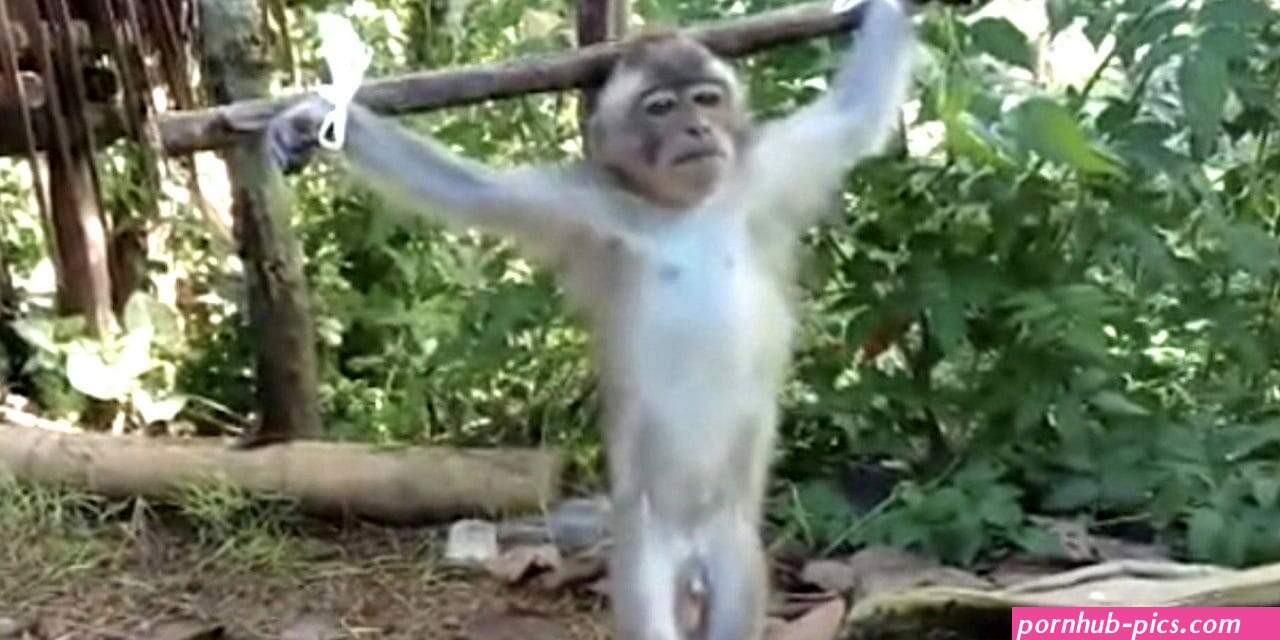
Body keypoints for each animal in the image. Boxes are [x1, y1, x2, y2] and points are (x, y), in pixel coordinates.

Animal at [267, 1, 917, 638]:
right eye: (662, 107)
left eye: (705, 98)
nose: (698, 129)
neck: (681, 208)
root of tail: (691, 553)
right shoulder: (585, 208)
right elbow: (472, 190)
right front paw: (317, 118)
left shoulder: (767, 173)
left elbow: (853, 116)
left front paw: (890, 12)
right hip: (645, 556)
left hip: (736, 554)